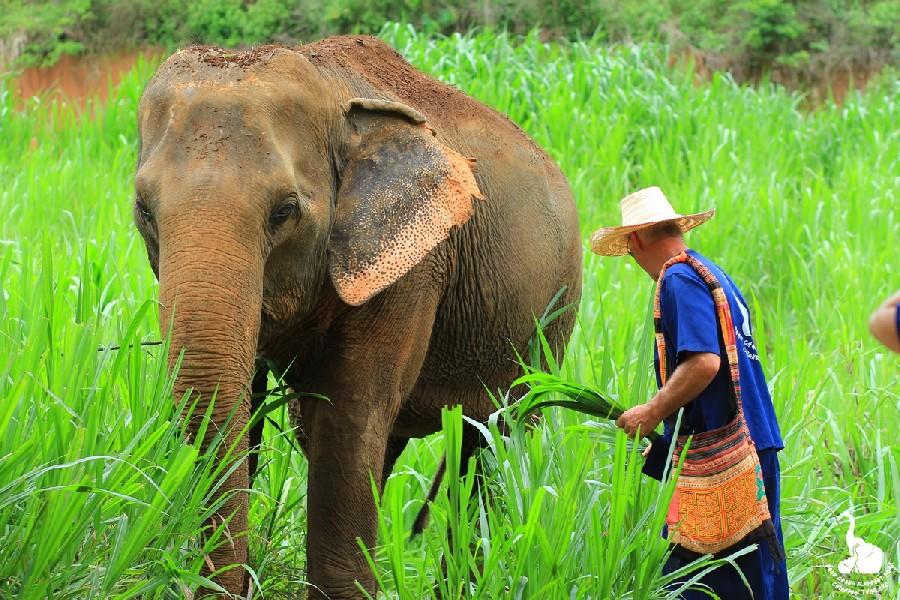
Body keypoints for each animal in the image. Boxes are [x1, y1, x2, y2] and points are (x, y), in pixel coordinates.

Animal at [133, 36, 582, 598]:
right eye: (143, 210)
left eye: (284, 212)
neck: (331, 90)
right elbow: (248, 410)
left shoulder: (412, 268)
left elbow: (349, 415)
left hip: (548, 326)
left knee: (492, 444)